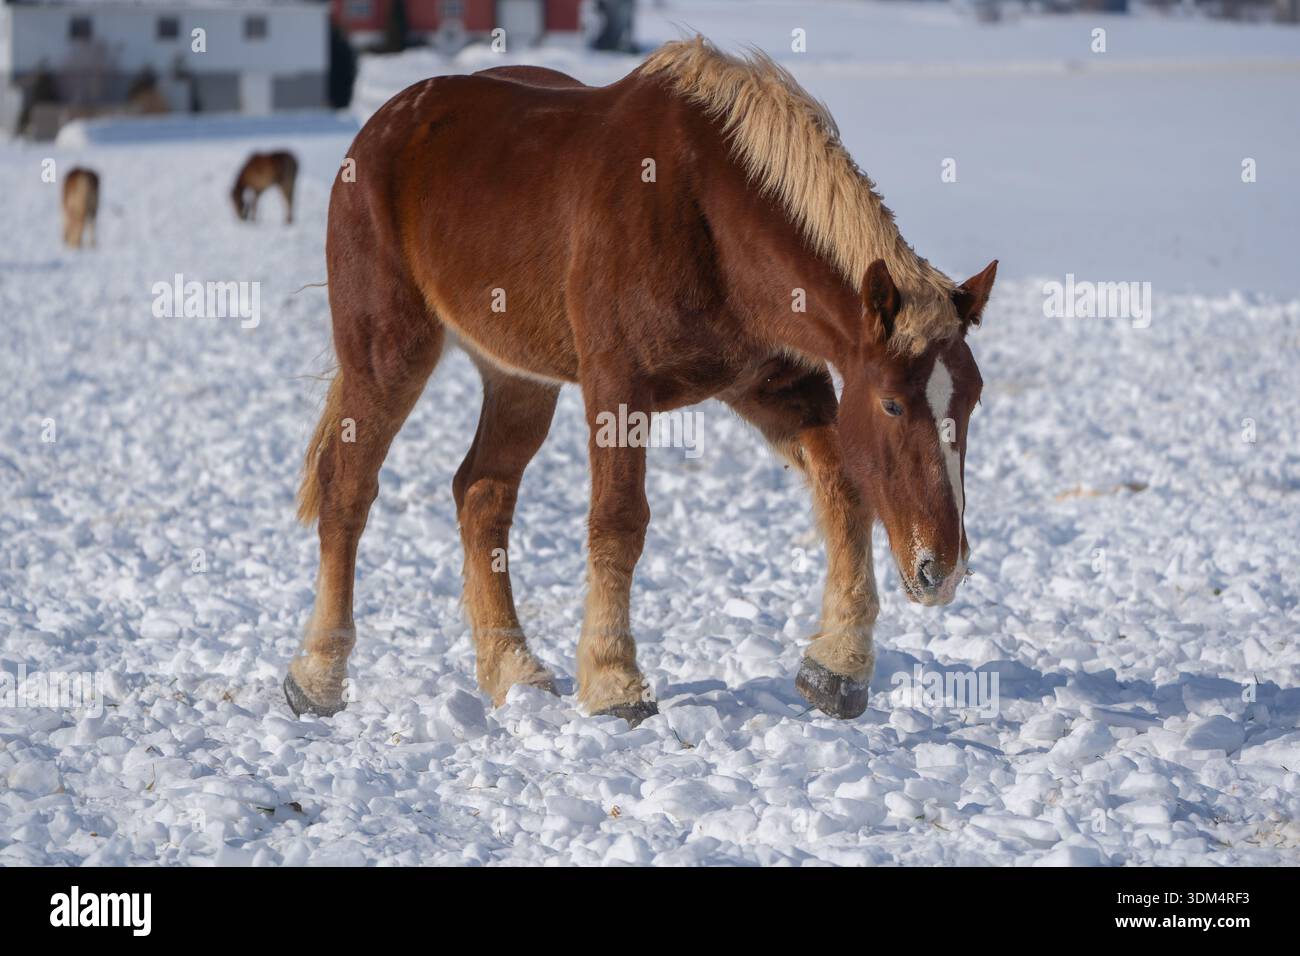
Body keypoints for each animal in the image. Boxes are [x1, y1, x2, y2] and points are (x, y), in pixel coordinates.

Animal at [285, 39, 997, 725]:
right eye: (893, 403)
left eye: (971, 398)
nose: (942, 567)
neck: (705, 209)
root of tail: (385, 125)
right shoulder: (617, 387)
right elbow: (619, 522)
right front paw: (615, 684)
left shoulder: (778, 385)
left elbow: (845, 491)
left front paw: (838, 667)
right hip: (387, 352)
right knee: (348, 488)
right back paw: (317, 677)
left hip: (519, 378)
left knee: (482, 493)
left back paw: (513, 671)